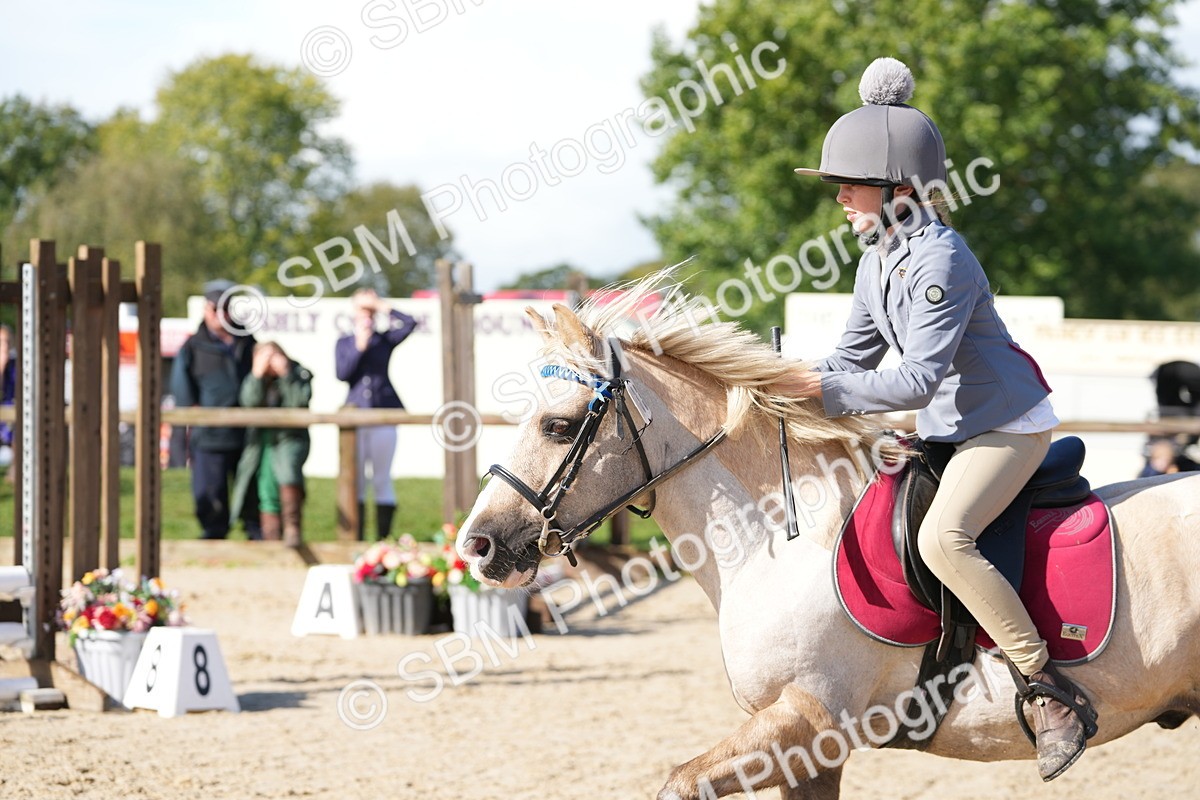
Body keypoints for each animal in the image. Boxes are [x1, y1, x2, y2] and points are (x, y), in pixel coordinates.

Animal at [455, 275, 1200, 799]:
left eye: (557, 426)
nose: (478, 545)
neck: (779, 544)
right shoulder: (806, 752)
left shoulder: (807, 720)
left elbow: (678, 783)